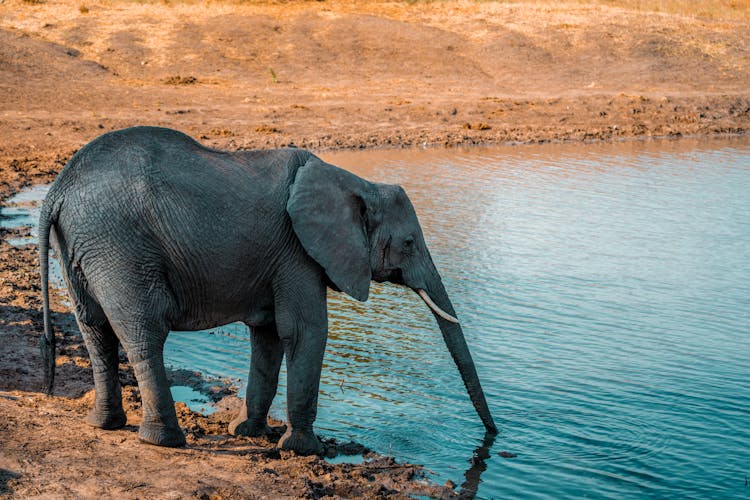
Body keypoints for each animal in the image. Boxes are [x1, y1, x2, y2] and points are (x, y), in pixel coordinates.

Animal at [41, 126, 500, 458]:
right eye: (408, 242)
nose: (493, 438)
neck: (354, 181)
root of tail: (57, 190)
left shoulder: (279, 258)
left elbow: (269, 336)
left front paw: (250, 432)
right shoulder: (297, 250)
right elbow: (306, 331)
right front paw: (306, 451)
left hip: (84, 245)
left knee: (96, 331)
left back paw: (105, 425)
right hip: (119, 246)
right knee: (144, 333)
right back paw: (164, 441)